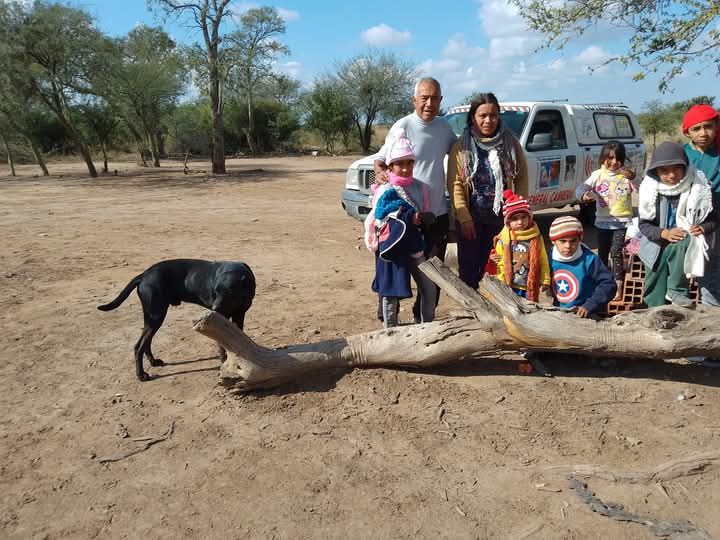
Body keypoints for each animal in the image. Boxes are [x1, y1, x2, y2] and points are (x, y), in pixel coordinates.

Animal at [97, 260, 256, 382]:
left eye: (229, 292)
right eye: (215, 292)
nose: (214, 309)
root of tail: (144, 275)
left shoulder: (239, 315)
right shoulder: (222, 319)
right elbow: (222, 344)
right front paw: (224, 361)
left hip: (152, 316)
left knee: (146, 341)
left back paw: (153, 362)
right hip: (156, 315)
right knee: (139, 345)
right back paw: (141, 375)